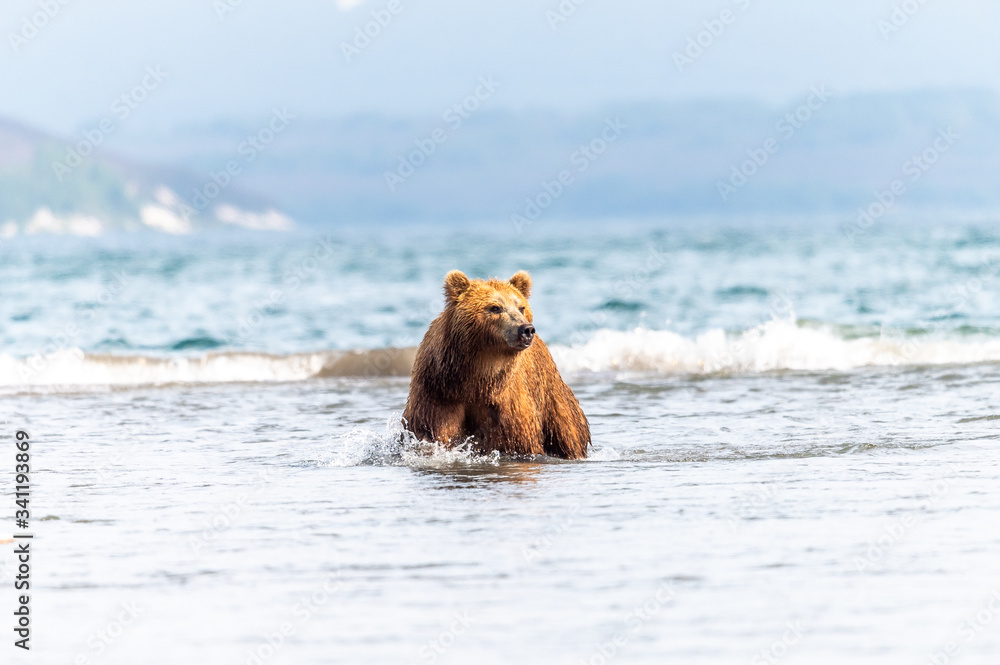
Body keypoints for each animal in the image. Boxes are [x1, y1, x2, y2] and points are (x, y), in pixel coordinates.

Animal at [402, 270, 590, 459]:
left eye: (521, 307)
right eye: (495, 307)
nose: (526, 329)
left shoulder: (508, 406)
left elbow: (518, 442)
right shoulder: (439, 391)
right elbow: (433, 431)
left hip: (552, 398)